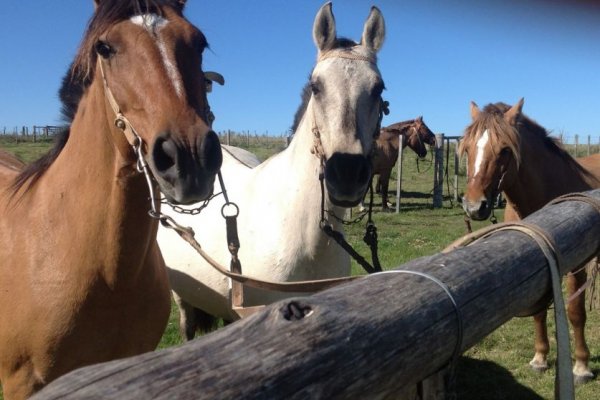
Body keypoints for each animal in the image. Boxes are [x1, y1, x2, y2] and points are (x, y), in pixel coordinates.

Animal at [460, 97, 600, 384]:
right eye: (467, 148)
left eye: (505, 150)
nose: (474, 206)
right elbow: (538, 312)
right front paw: (540, 358)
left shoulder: (576, 266)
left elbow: (576, 312)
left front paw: (581, 366)